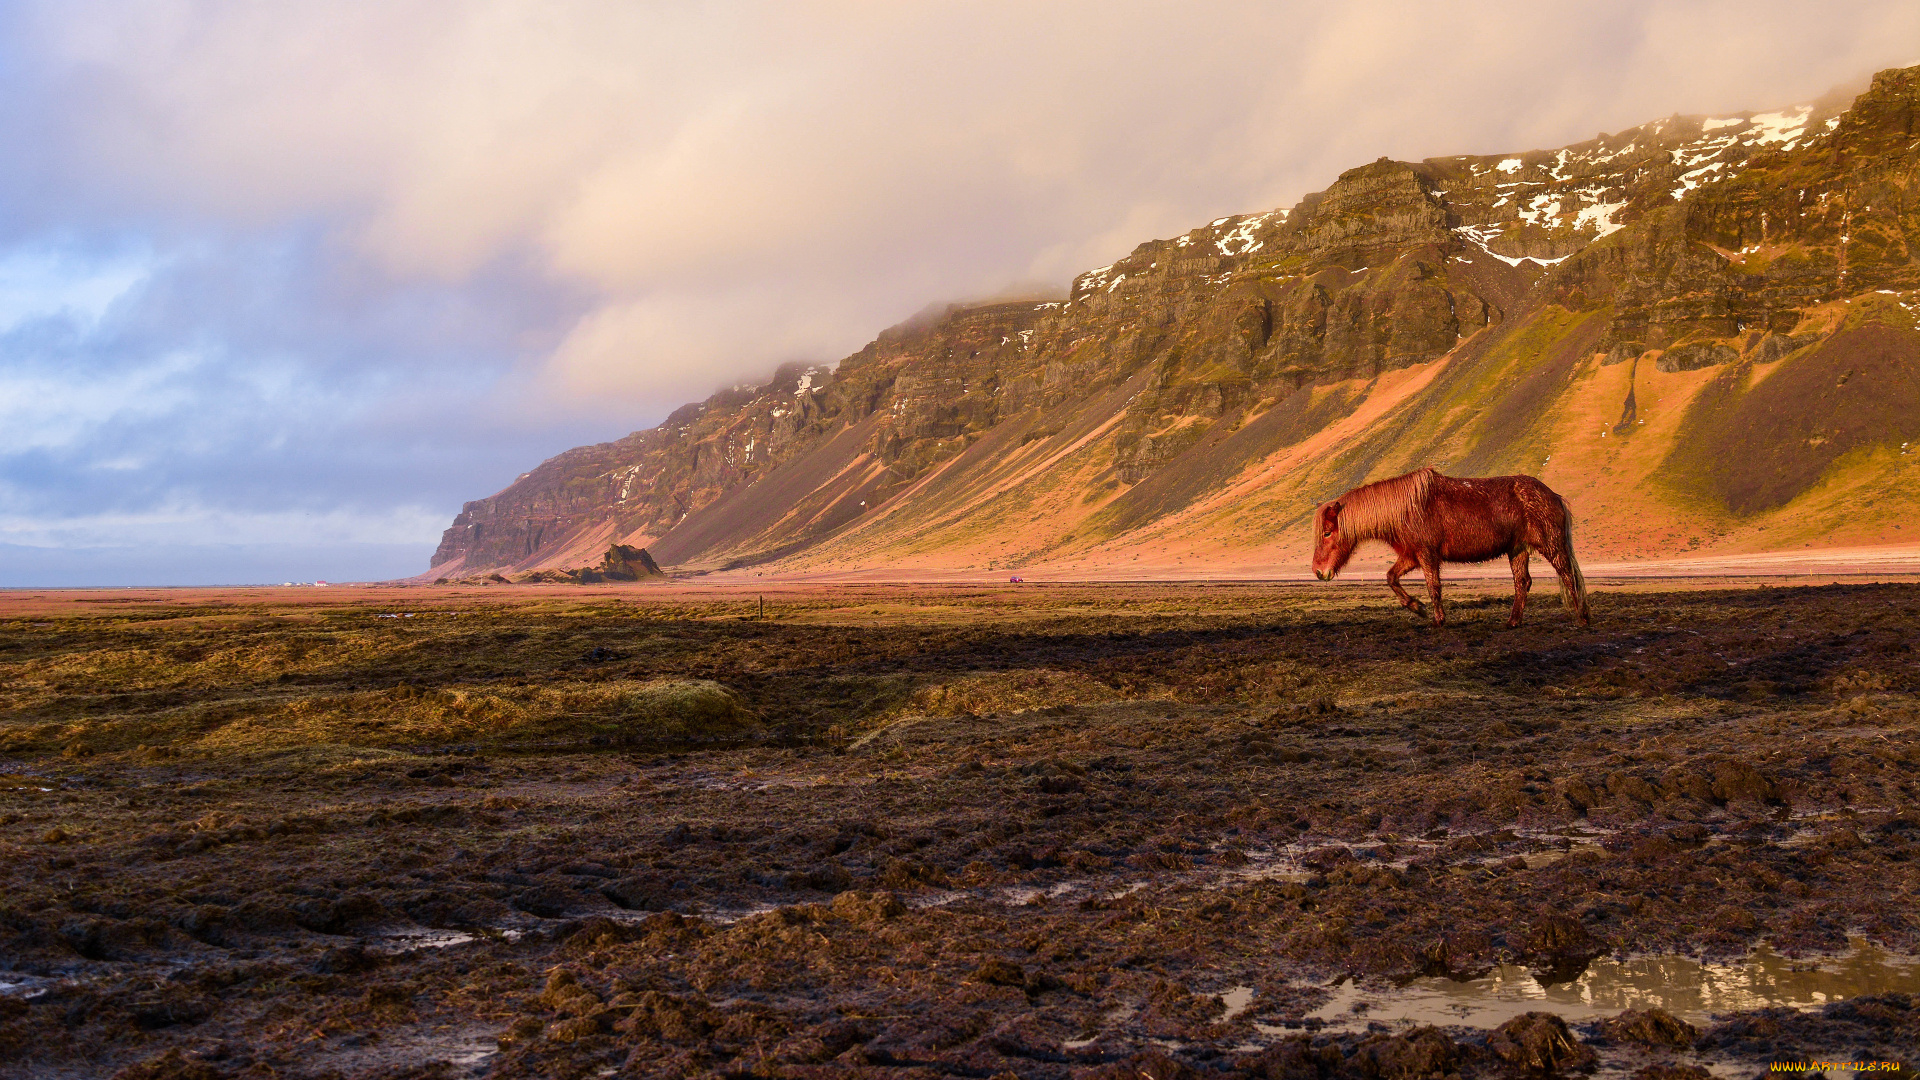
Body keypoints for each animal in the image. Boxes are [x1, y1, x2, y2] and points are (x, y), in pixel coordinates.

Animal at [1305, 466, 1589, 626]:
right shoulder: (1411, 555)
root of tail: (1553, 495)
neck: (1408, 509)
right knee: (1523, 582)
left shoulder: (1427, 555)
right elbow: (1391, 578)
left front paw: (1438, 620)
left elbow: (1434, 587)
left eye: (1327, 533)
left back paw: (1582, 617)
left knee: (1567, 575)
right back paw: (1513, 622)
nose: (1319, 571)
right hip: (1517, 550)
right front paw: (1416, 608)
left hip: (1550, 545)